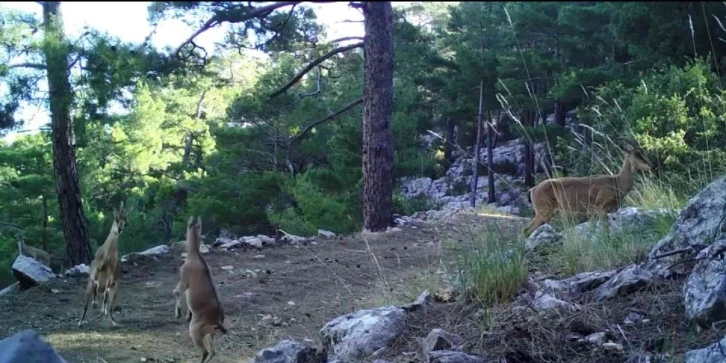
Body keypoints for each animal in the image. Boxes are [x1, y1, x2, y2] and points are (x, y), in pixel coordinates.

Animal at [174, 216, 226, 363]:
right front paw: (187, 315)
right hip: (209, 334)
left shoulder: (184, 279)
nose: (184, 236)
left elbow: (176, 291)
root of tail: (217, 322)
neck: (194, 257)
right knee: (213, 352)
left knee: (205, 351)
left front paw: (178, 313)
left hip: (195, 331)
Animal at [524, 137, 656, 239]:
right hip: (543, 212)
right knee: (526, 230)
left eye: (642, 152)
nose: (650, 165)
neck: (616, 182)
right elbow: (605, 229)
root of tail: (532, 190)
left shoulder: (595, 212)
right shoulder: (600, 208)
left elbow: (592, 230)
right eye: (637, 154)